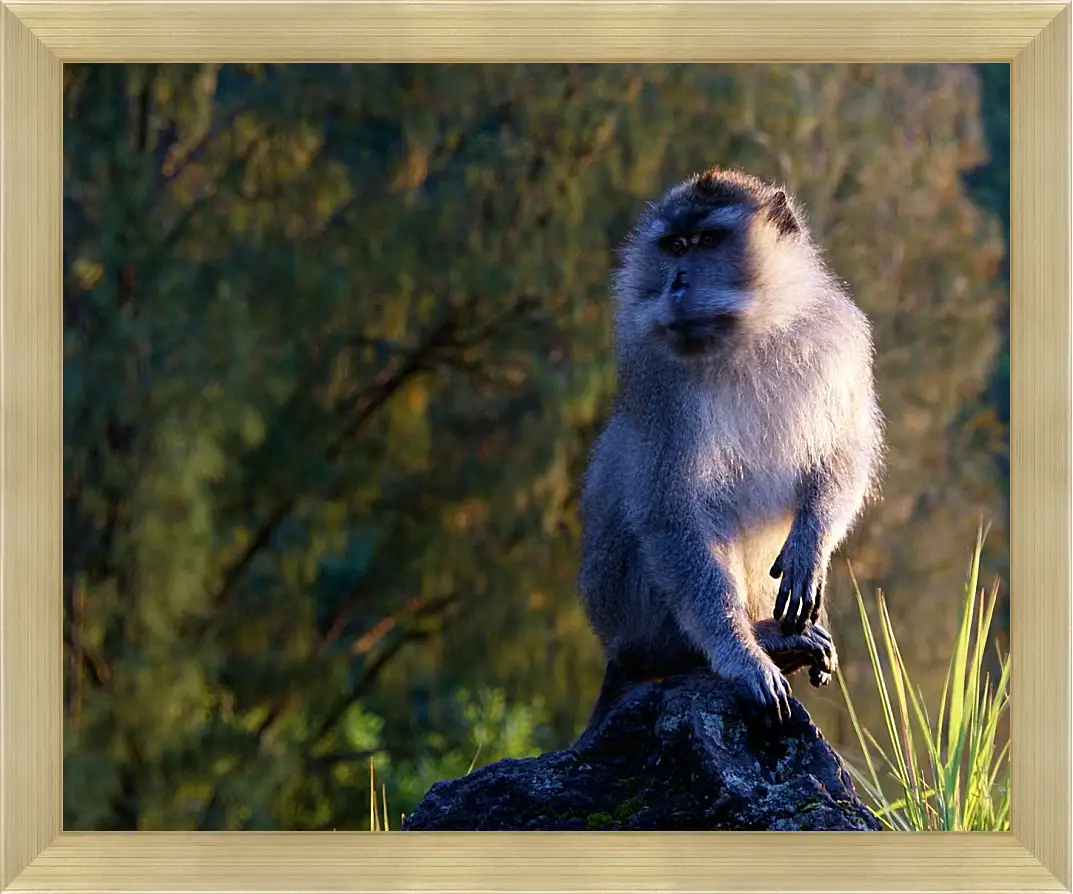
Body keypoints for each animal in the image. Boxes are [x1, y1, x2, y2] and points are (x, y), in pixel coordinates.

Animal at [575, 169, 884, 734]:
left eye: (709, 241)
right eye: (675, 246)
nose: (677, 283)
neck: (751, 334)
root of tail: (618, 650)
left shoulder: (840, 338)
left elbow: (845, 450)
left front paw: (812, 541)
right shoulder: (660, 379)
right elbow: (670, 512)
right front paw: (740, 658)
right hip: (640, 624)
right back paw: (751, 645)